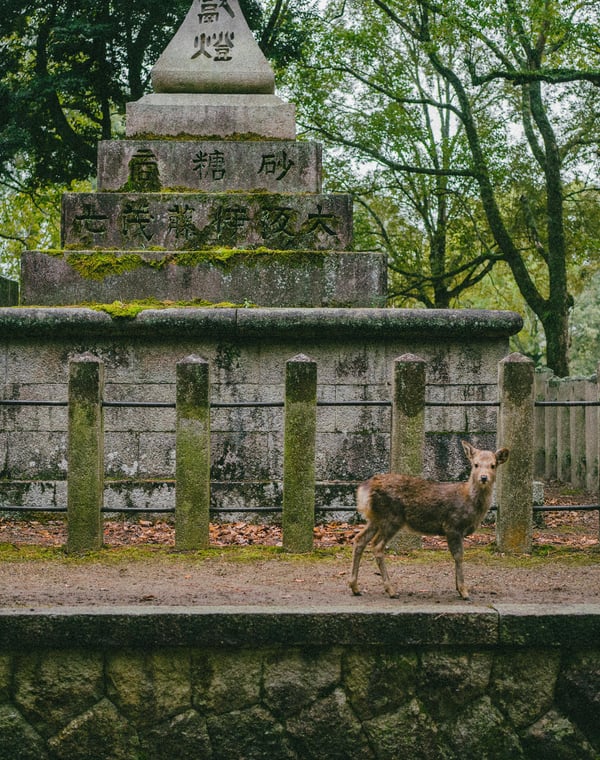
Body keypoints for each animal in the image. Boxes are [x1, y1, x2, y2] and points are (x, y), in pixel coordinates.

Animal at [349, 441, 509, 600]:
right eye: (475, 464)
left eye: (493, 465)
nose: (483, 477)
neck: (471, 504)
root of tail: (364, 490)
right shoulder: (452, 525)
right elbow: (459, 556)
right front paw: (464, 591)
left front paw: (458, 588)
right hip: (391, 518)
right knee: (377, 546)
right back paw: (391, 590)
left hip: (375, 519)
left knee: (359, 539)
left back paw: (355, 587)